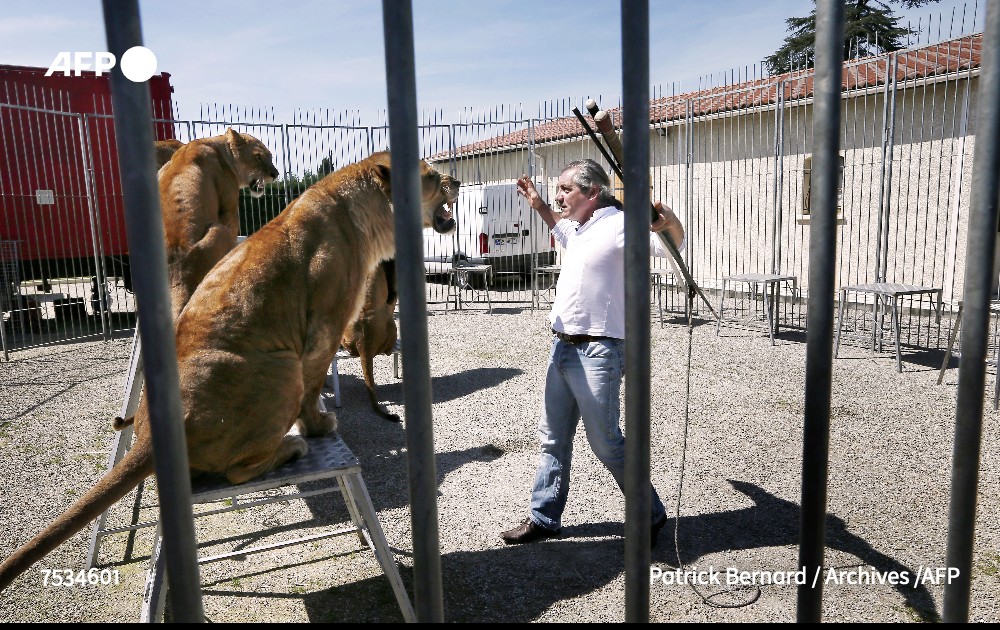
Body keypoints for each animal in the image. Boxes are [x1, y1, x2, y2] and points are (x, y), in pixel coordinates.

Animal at [0, 151, 458, 592]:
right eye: (430, 175)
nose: (455, 177)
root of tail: (148, 439)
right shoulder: (324, 329)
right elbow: (314, 389)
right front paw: (318, 426)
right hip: (283, 368)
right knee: (239, 470)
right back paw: (293, 446)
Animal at [158, 127, 279, 320]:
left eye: (271, 157)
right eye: (258, 157)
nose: (275, 174)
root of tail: (178, 269)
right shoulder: (229, 209)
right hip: (219, 229)